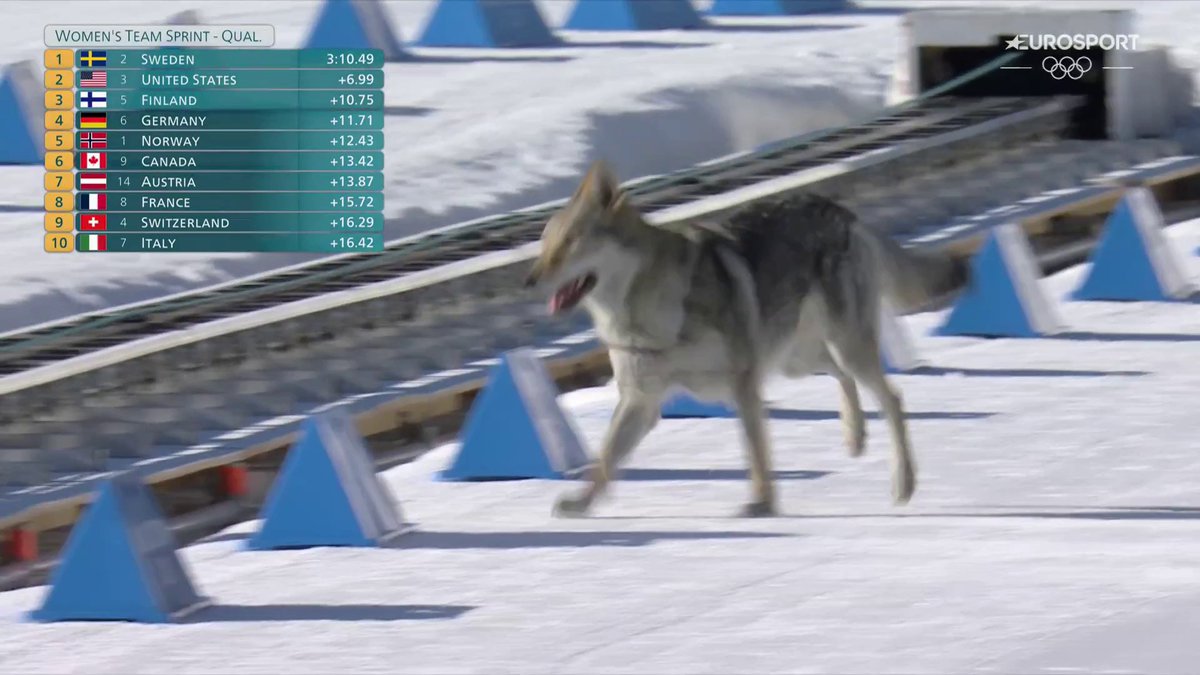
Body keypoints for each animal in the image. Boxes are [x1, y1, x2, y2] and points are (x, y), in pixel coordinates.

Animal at [525, 160, 969, 517]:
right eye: (544, 246)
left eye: (570, 242)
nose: (527, 281)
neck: (639, 311)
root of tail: (840, 210)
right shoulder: (641, 401)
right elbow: (603, 463)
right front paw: (579, 505)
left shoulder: (742, 387)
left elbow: (756, 453)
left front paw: (761, 504)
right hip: (797, 360)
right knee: (842, 378)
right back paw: (854, 437)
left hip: (842, 348)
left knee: (891, 398)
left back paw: (903, 483)